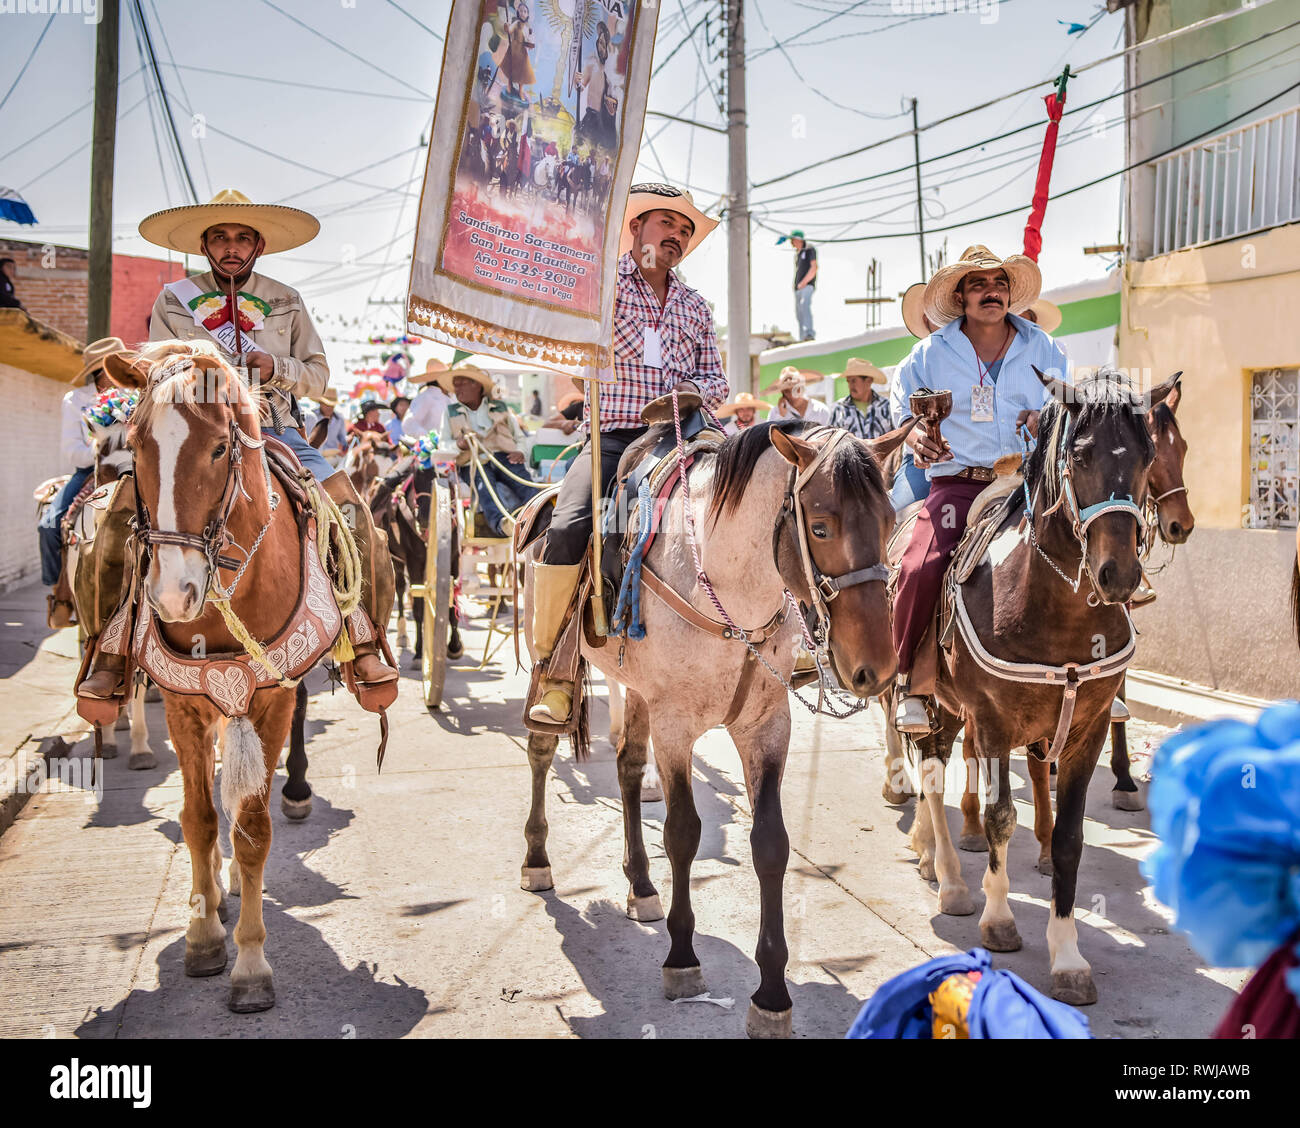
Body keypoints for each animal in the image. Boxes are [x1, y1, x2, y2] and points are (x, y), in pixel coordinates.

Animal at [514, 418, 904, 1034]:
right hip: (545, 651)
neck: (726, 590)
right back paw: (537, 861)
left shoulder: (766, 728)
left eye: (890, 522)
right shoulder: (676, 726)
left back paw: (641, 885)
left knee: (628, 768)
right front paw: (682, 959)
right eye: (820, 526)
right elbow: (682, 832)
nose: (876, 669)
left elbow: (770, 844)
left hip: (638, 692)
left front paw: (771, 993)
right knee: (540, 749)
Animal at [915, 369, 1180, 1003]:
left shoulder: (1085, 730)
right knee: (931, 771)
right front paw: (998, 920)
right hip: (936, 703)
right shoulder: (991, 721)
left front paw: (1067, 955)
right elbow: (999, 818)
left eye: (1148, 455)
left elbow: (1069, 837)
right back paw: (948, 877)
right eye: (1079, 455)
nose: (1119, 574)